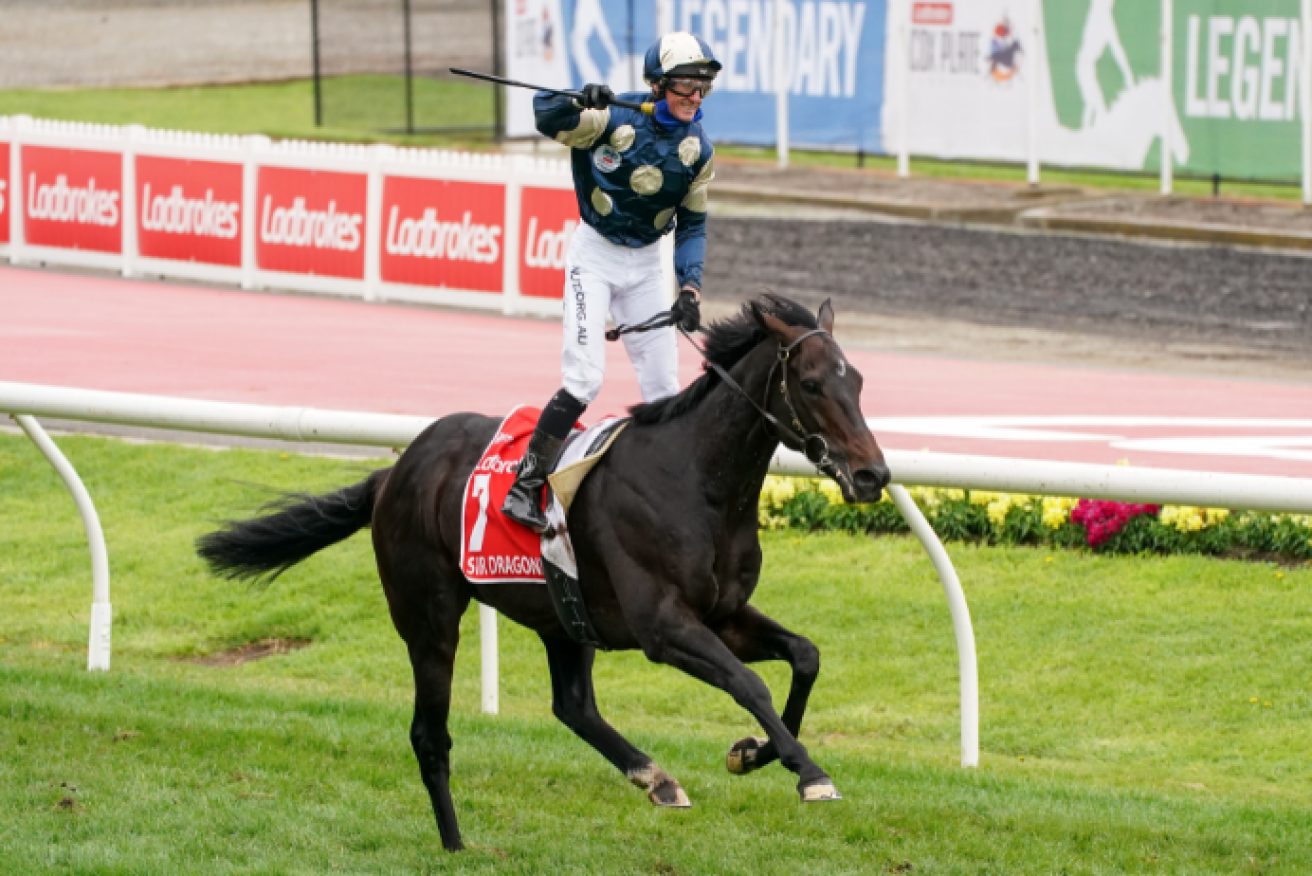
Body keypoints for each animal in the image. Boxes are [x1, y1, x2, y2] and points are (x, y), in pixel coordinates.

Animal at [194, 293, 892, 849]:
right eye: (811, 384)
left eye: (857, 380)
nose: (872, 475)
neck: (699, 482)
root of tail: (393, 472)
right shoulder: (663, 627)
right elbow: (750, 683)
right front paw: (809, 772)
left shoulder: (722, 613)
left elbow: (804, 656)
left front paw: (753, 753)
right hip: (430, 617)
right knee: (430, 733)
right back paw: (456, 844)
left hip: (564, 614)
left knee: (573, 705)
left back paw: (656, 779)